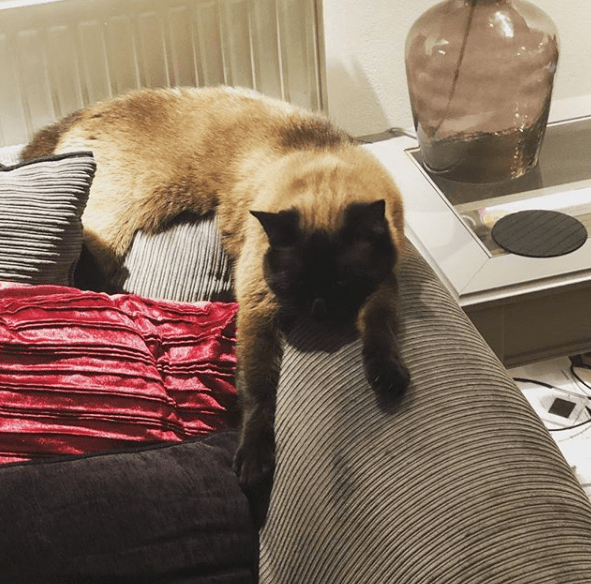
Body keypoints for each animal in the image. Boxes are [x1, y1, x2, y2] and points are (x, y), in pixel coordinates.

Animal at [24, 88, 412, 528]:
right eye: (295, 284)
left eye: (342, 284)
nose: (318, 312)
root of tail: (76, 117)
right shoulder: (260, 311)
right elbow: (259, 393)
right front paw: (255, 467)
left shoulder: (382, 285)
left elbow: (380, 328)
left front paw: (388, 378)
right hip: (109, 235)